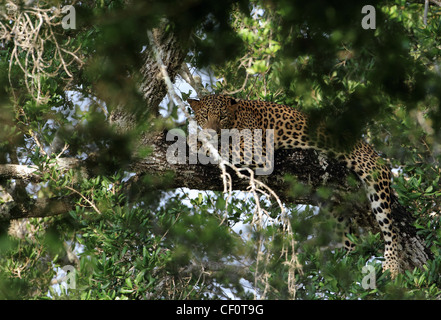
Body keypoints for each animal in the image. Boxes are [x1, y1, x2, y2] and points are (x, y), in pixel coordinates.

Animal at [187, 93, 400, 278]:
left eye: (222, 117)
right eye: (204, 116)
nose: (211, 132)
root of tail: (370, 148)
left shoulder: (255, 150)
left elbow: (223, 145)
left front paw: (199, 143)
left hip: (375, 176)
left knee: (390, 228)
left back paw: (392, 265)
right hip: (332, 205)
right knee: (351, 238)